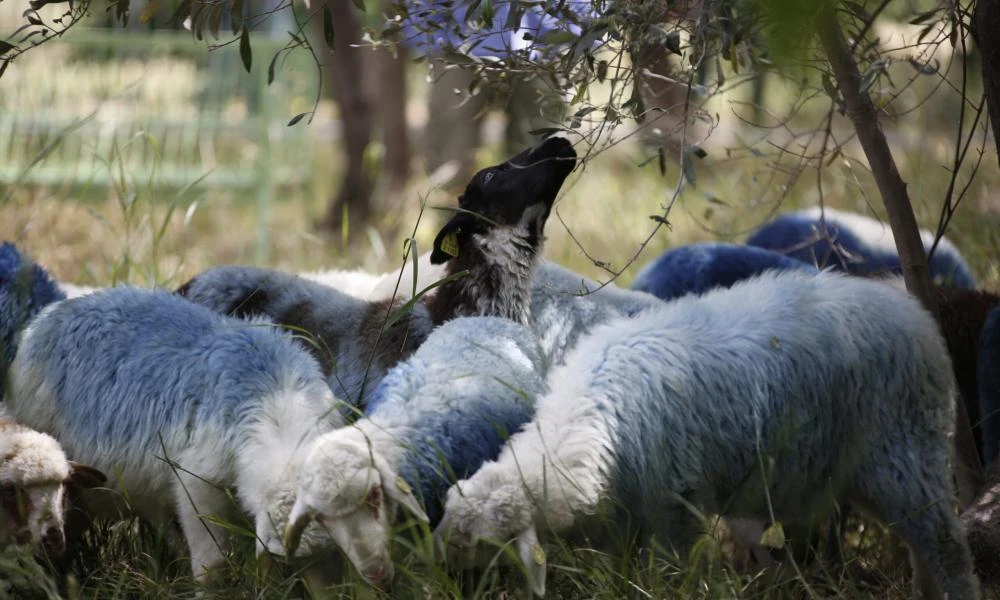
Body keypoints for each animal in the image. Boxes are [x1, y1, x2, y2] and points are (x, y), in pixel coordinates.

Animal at [436, 270, 976, 596]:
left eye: (481, 543)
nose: (434, 579)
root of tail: (911, 309)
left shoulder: (678, 504)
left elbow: (672, 574)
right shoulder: (626, 517)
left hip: (905, 453)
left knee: (945, 545)